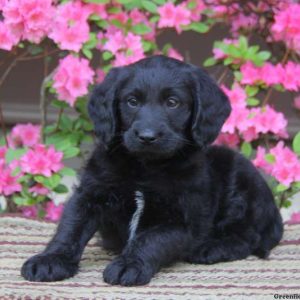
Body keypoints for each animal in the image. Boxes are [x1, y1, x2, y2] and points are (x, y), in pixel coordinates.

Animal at [21, 55, 284, 286]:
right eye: (132, 101)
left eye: (172, 102)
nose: (147, 137)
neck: (145, 167)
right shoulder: (89, 194)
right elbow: (70, 228)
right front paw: (50, 260)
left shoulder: (181, 220)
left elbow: (150, 239)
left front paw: (129, 264)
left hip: (241, 176)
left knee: (247, 236)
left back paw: (211, 247)